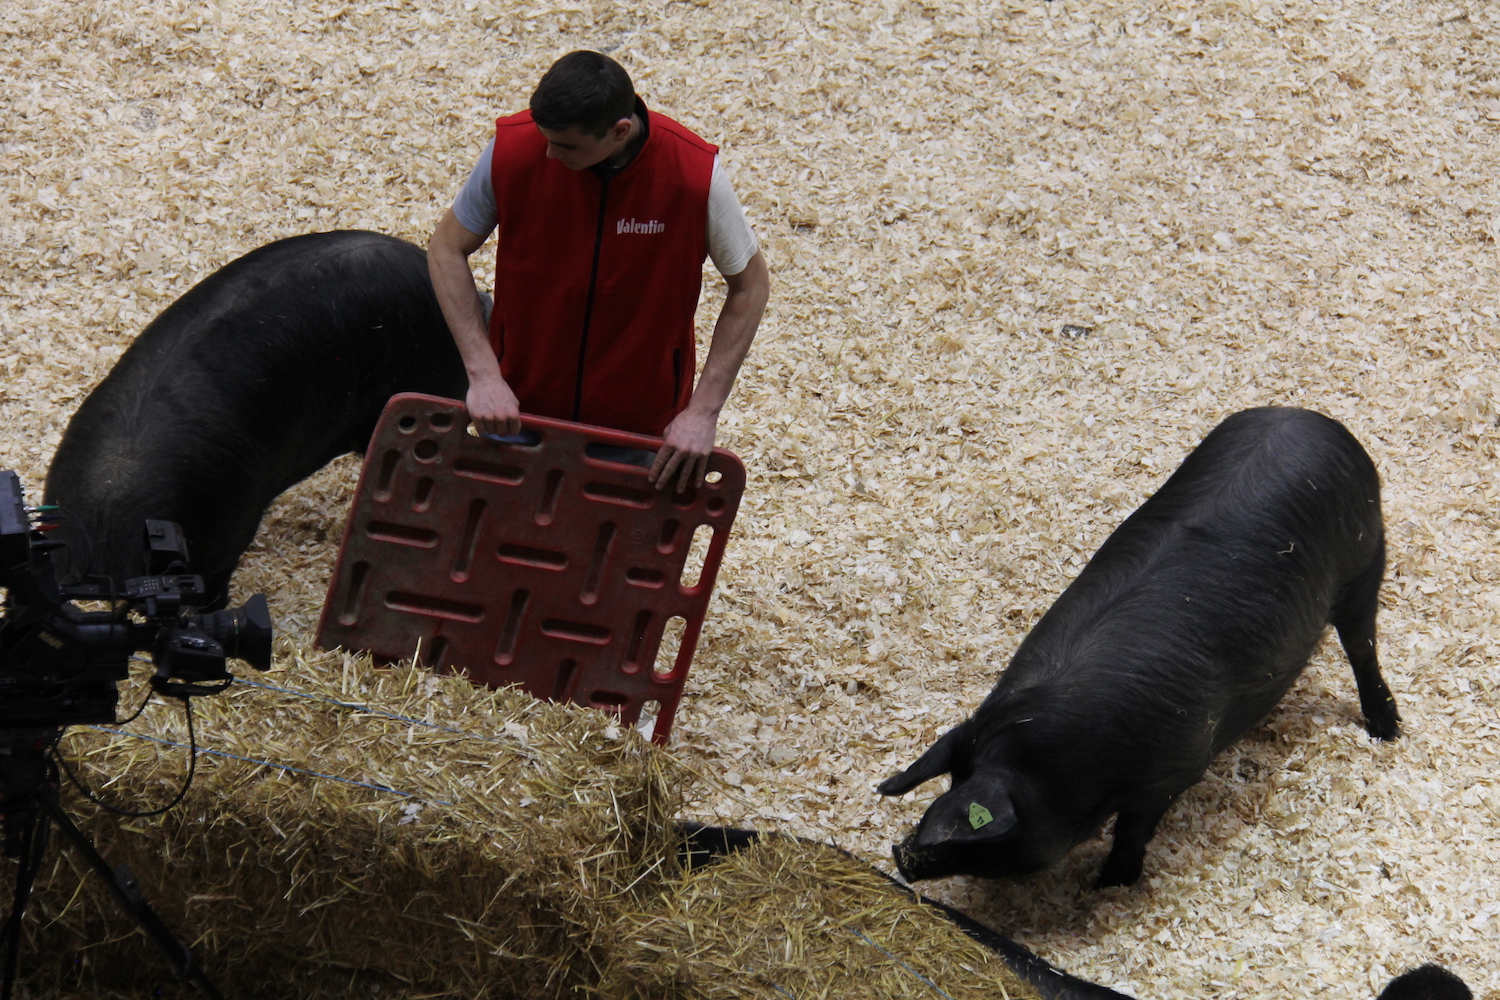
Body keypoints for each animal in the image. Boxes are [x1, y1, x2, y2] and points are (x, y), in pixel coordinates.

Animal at [876, 407, 1398, 881]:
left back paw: (1386, 731)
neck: (1069, 769)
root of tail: (1315, 419)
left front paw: (1109, 883)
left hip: (1366, 561)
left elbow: (1134, 828)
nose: (901, 856)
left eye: (988, 838)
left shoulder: (1174, 769)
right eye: (950, 782)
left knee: (1363, 647)